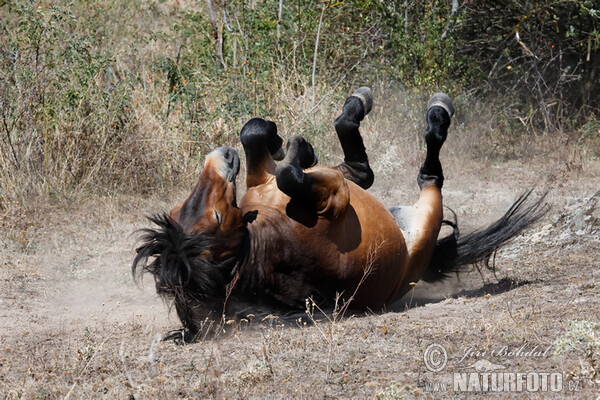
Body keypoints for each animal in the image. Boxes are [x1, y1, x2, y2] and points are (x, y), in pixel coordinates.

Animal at [134, 88, 548, 338]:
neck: (264, 240)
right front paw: (298, 147)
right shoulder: (335, 198)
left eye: (180, 210)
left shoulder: (260, 180)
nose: (220, 158)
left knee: (362, 164)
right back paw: (434, 111)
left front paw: (282, 140)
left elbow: (255, 136)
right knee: (427, 173)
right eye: (217, 219)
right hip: (427, 214)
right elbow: (291, 174)